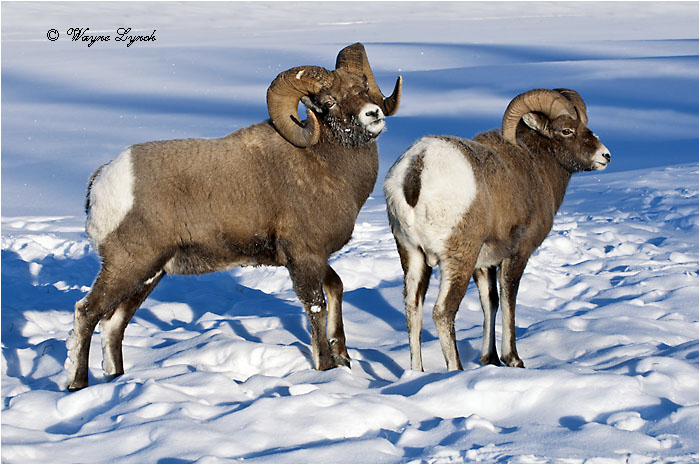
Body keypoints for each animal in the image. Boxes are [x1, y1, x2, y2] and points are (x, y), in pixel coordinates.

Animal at [65, 43, 402, 391]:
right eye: (329, 101)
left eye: (362, 88)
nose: (373, 115)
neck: (323, 166)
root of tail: (103, 179)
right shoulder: (305, 257)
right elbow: (316, 307)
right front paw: (325, 368)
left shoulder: (314, 258)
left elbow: (336, 288)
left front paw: (344, 358)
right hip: (128, 266)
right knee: (87, 313)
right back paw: (77, 384)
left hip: (148, 274)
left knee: (113, 323)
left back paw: (116, 379)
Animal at [383, 88, 610, 371]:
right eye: (567, 130)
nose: (605, 156)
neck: (537, 168)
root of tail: (417, 169)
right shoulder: (516, 255)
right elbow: (508, 299)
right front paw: (513, 359)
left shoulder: (484, 264)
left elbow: (489, 302)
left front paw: (489, 359)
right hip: (458, 258)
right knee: (443, 312)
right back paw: (456, 370)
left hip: (412, 255)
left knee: (413, 309)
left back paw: (418, 373)